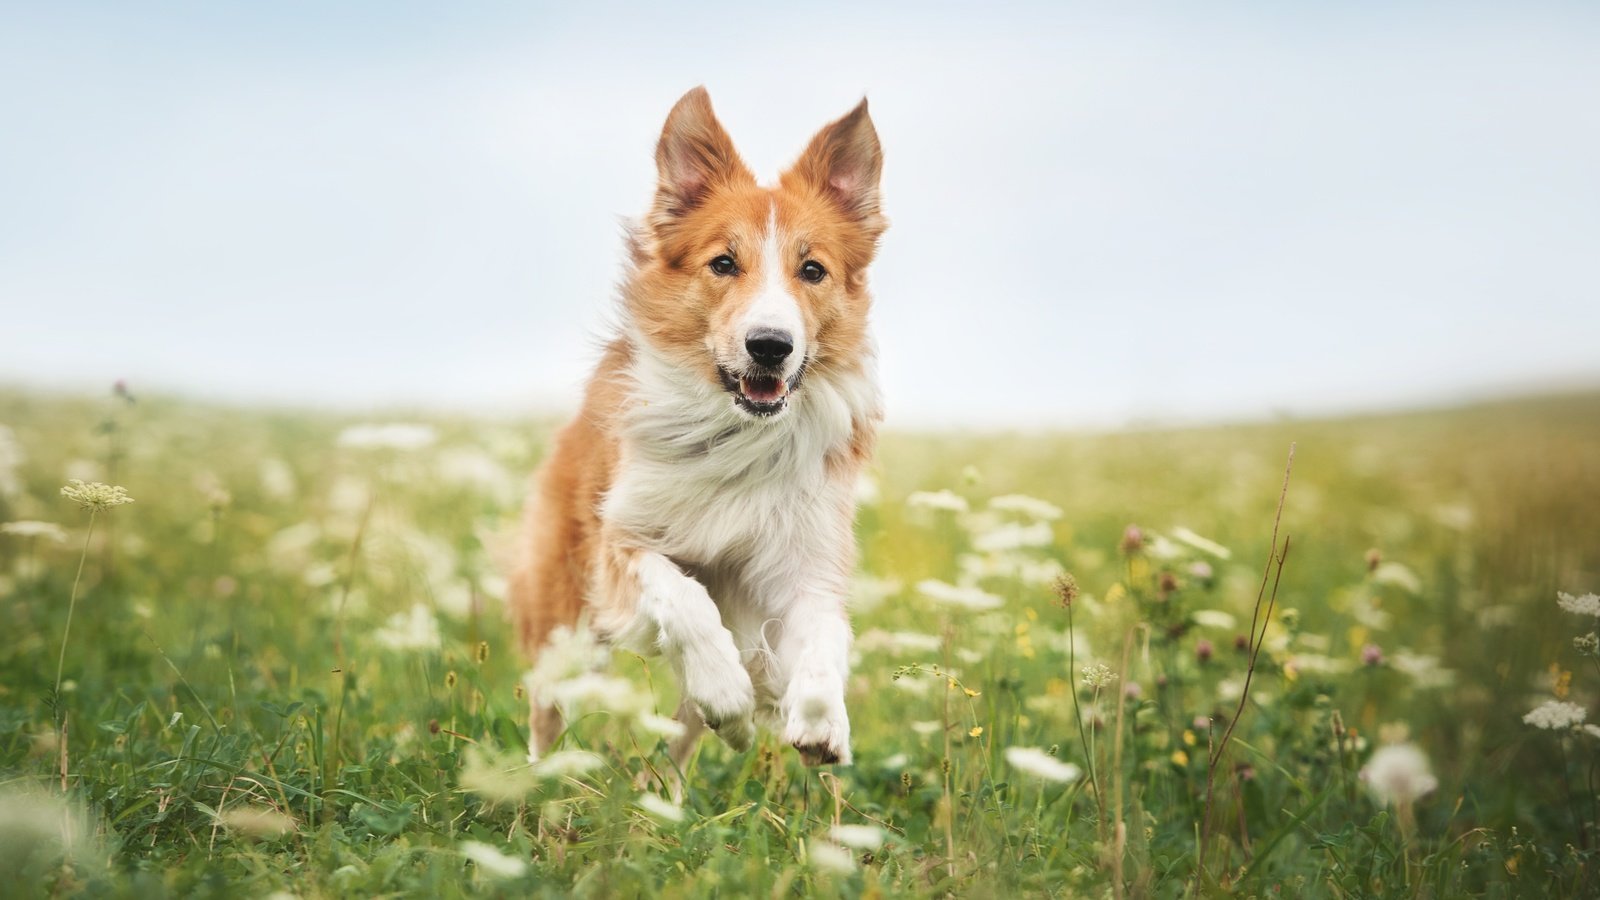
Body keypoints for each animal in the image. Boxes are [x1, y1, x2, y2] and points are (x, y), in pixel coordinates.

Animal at [508, 87, 889, 768]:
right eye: (724, 263)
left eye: (812, 270)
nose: (770, 346)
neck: (738, 433)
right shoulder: (621, 543)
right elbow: (685, 597)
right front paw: (727, 689)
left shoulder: (804, 560)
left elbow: (826, 633)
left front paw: (822, 721)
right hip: (563, 621)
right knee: (547, 714)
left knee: (676, 751)